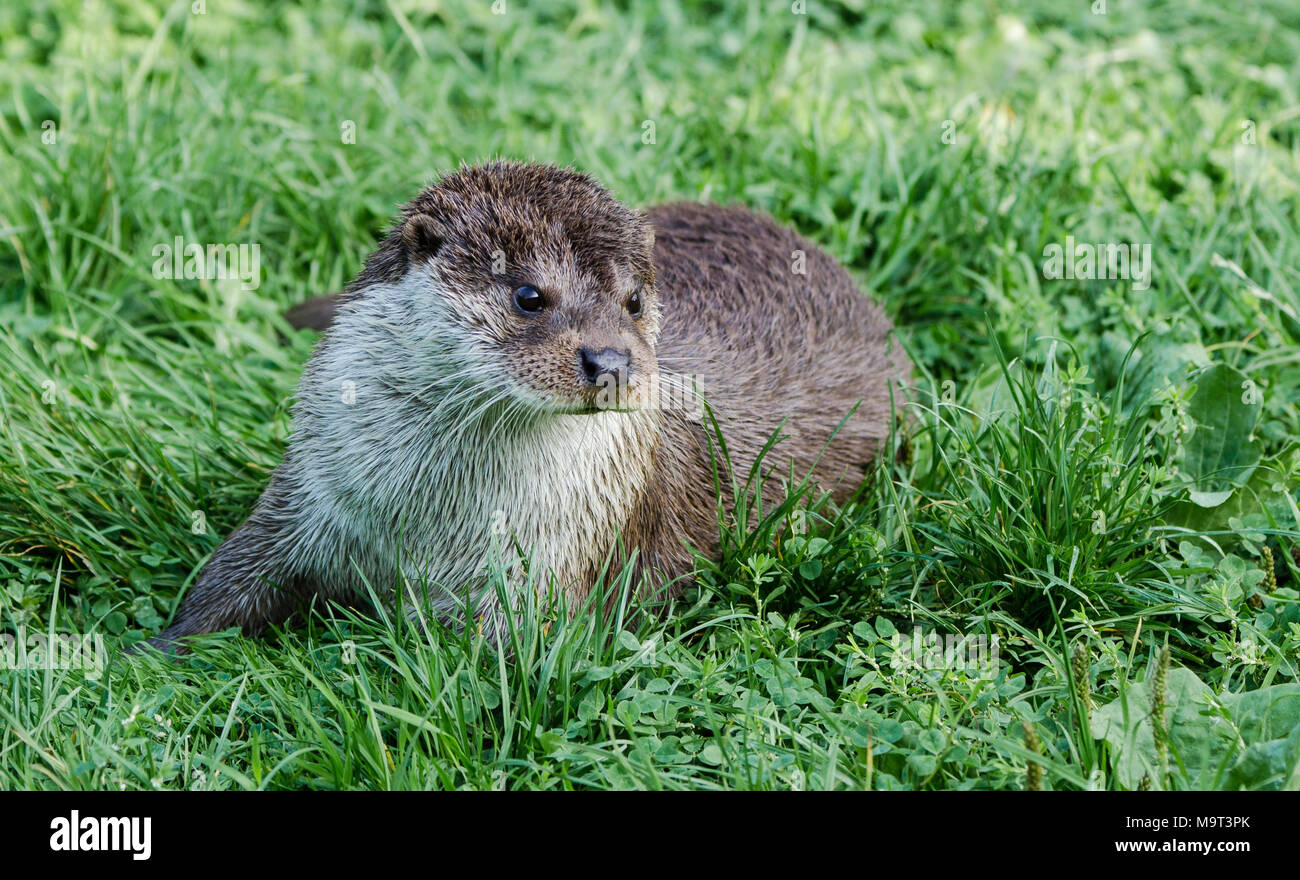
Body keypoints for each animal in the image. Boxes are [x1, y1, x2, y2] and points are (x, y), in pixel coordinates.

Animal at [147, 161, 908, 651]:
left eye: (635, 301)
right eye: (529, 295)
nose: (611, 361)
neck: (426, 522)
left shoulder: (546, 572)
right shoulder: (308, 496)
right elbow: (229, 578)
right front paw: (155, 651)